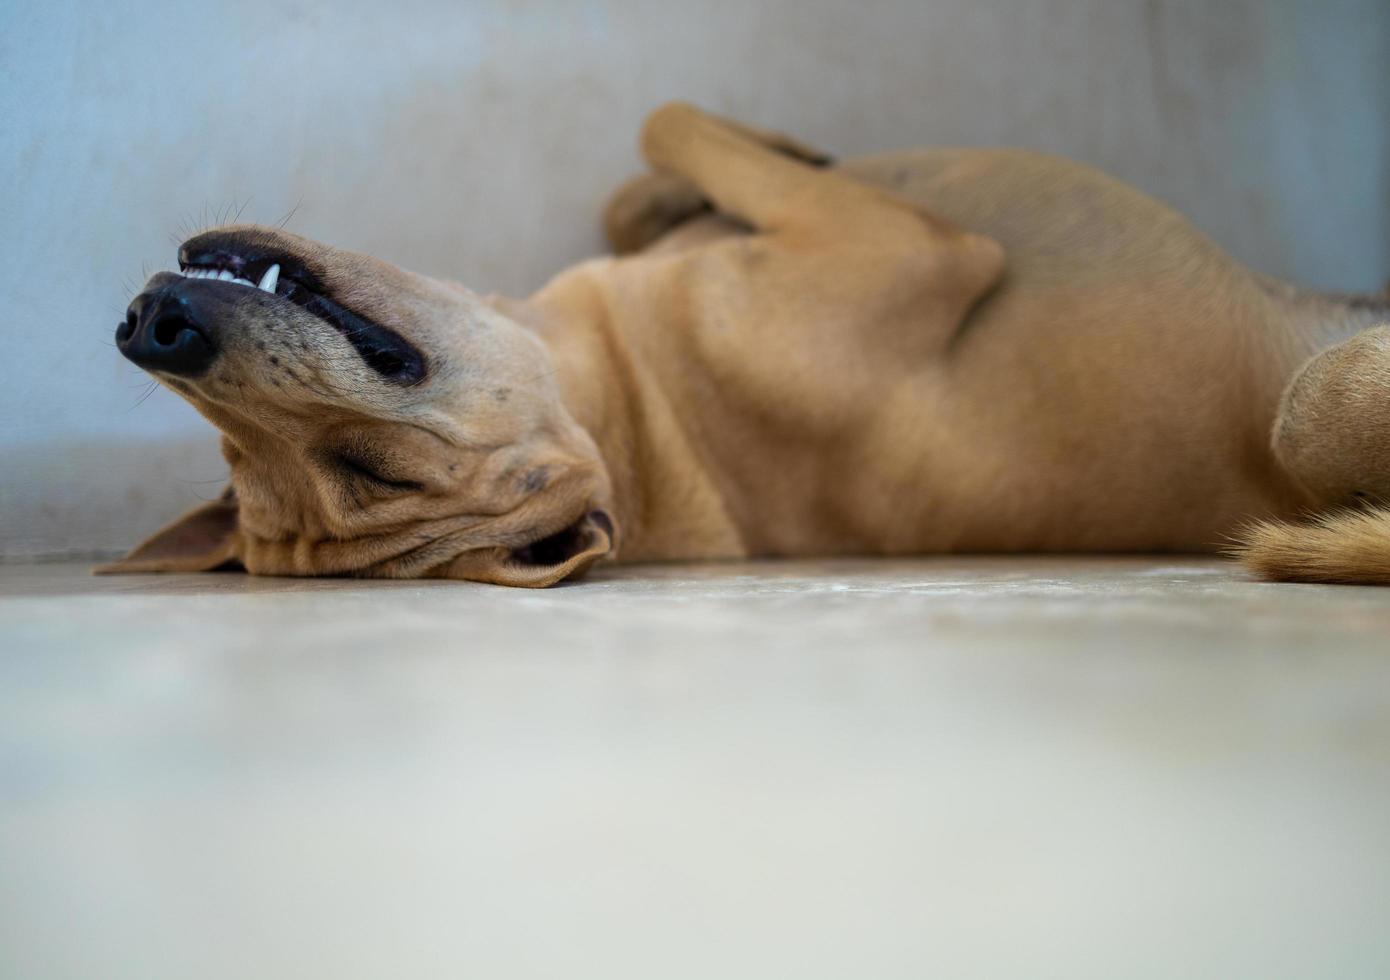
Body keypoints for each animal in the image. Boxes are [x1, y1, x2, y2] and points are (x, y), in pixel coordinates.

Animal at [102, 102, 1390, 583]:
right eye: (379, 474)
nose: (156, 329)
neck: (627, 415)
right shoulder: (913, 247)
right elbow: (665, 121)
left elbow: (641, 169)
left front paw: (729, 173)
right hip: (1311, 399)